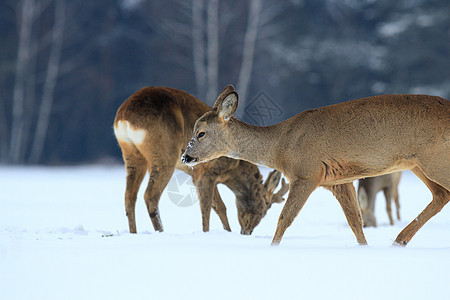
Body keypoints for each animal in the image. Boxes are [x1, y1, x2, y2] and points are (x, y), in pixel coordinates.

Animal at [113, 88, 288, 236]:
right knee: (150, 195)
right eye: (263, 207)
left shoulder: (201, 175)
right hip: (163, 154)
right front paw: (209, 232)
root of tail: (124, 118)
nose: (248, 231)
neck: (234, 167)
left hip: (131, 155)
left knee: (129, 196)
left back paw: (133, 233)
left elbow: (220, 206)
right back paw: (160, 232)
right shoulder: (205, 171)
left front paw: (227, 231)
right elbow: (208, 207)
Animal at [183, 84, 450, 246]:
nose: (186, 157)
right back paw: (399, 240)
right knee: (440, 195)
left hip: (434, 159)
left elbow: (284, 218)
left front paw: (272, 247)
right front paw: (364, 248)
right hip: (418, 164)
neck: (280, 146)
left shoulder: (306, 173)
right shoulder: (339, 180)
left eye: (201, 133)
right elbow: (355, 221)